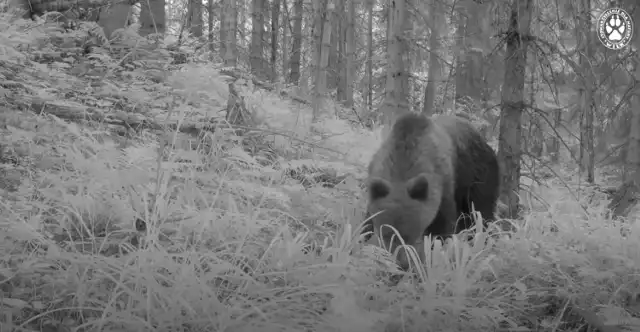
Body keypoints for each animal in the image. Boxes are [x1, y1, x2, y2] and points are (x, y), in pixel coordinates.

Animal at [360, 111, 500, 270]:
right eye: (386, 234)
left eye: (410, 234)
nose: (400, 262)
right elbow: (365, 223)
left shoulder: (443, 186)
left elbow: (443, 227)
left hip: (478, 175)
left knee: (481, 213)